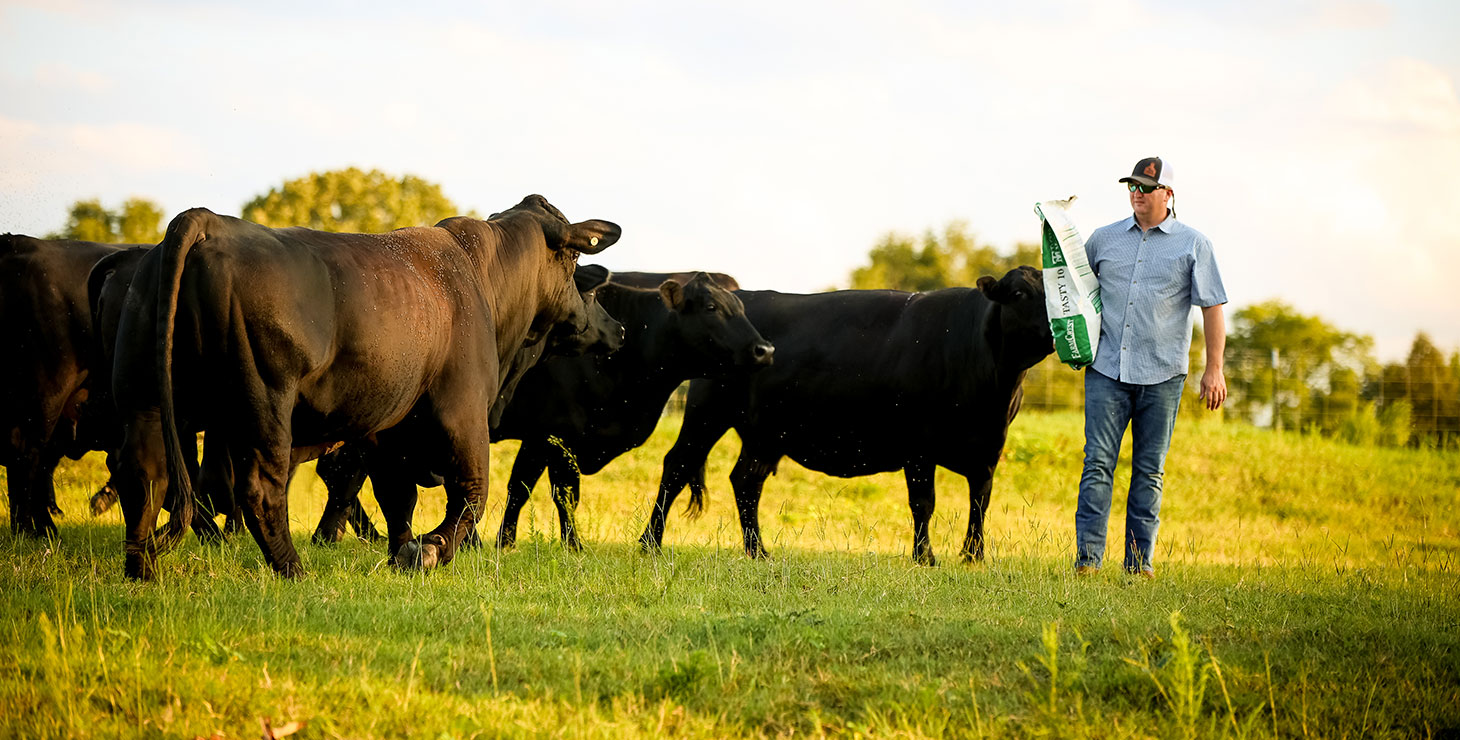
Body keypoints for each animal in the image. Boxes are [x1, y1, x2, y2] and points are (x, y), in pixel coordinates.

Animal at [112, 195, 616, 577]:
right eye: (574, 259)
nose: (596, 321)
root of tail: (207, 221)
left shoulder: (390, 426)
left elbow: (397, 497)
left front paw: (402, 553)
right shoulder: (464, 409)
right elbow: (470, 493)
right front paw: (430, 550)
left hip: (143, 396)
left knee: (143, 476)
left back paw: (141, 571)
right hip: (263, 401)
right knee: (259, 489)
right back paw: (293, 570)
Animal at [493, 272, 776, 551]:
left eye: (740, 307)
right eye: (711, 307)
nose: (765, 350)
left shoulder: (539, 438)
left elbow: (520, 487)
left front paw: (505, 542)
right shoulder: (555, 435)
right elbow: (561, 493)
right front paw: (572, 546)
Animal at [639, 270, 1051, 563]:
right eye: (1019, 294)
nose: (1055, 327)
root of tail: (742, 295)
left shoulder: (990, 449)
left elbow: (980, 501)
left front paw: (973, 556)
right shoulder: (918, 445)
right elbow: (924, 502)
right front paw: (925, 557)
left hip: (765, 433)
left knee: (745, 481)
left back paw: (758, 551)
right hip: (707, 413)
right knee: (677, 466)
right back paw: (650, 543)